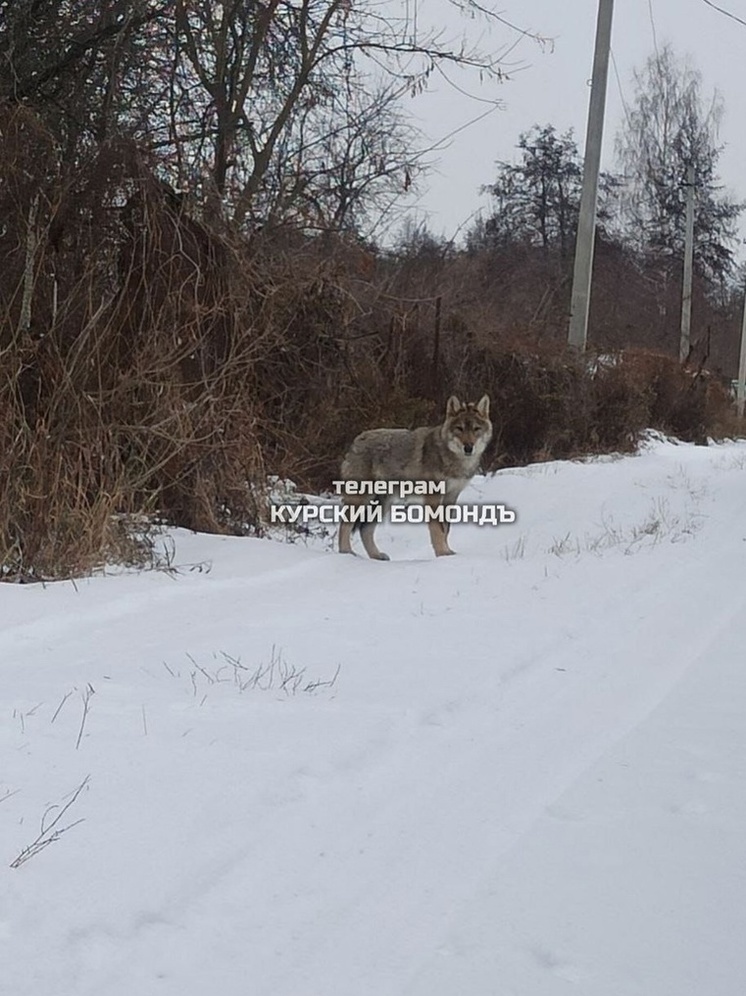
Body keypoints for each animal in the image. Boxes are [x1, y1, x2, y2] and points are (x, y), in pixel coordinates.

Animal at [336, 392, 488, 560]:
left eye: (476, 429)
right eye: (459, 429)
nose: (468, 448)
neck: (454, 460)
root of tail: (356, 441)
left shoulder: (451, 496)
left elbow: (445, 529)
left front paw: (447, 554)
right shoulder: (433, 496)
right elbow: (437, 529)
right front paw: (442, 553)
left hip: (384, 503)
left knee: (365, 529)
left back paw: (376, 556)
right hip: (361, 499)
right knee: (344, 525)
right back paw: (346, 553)